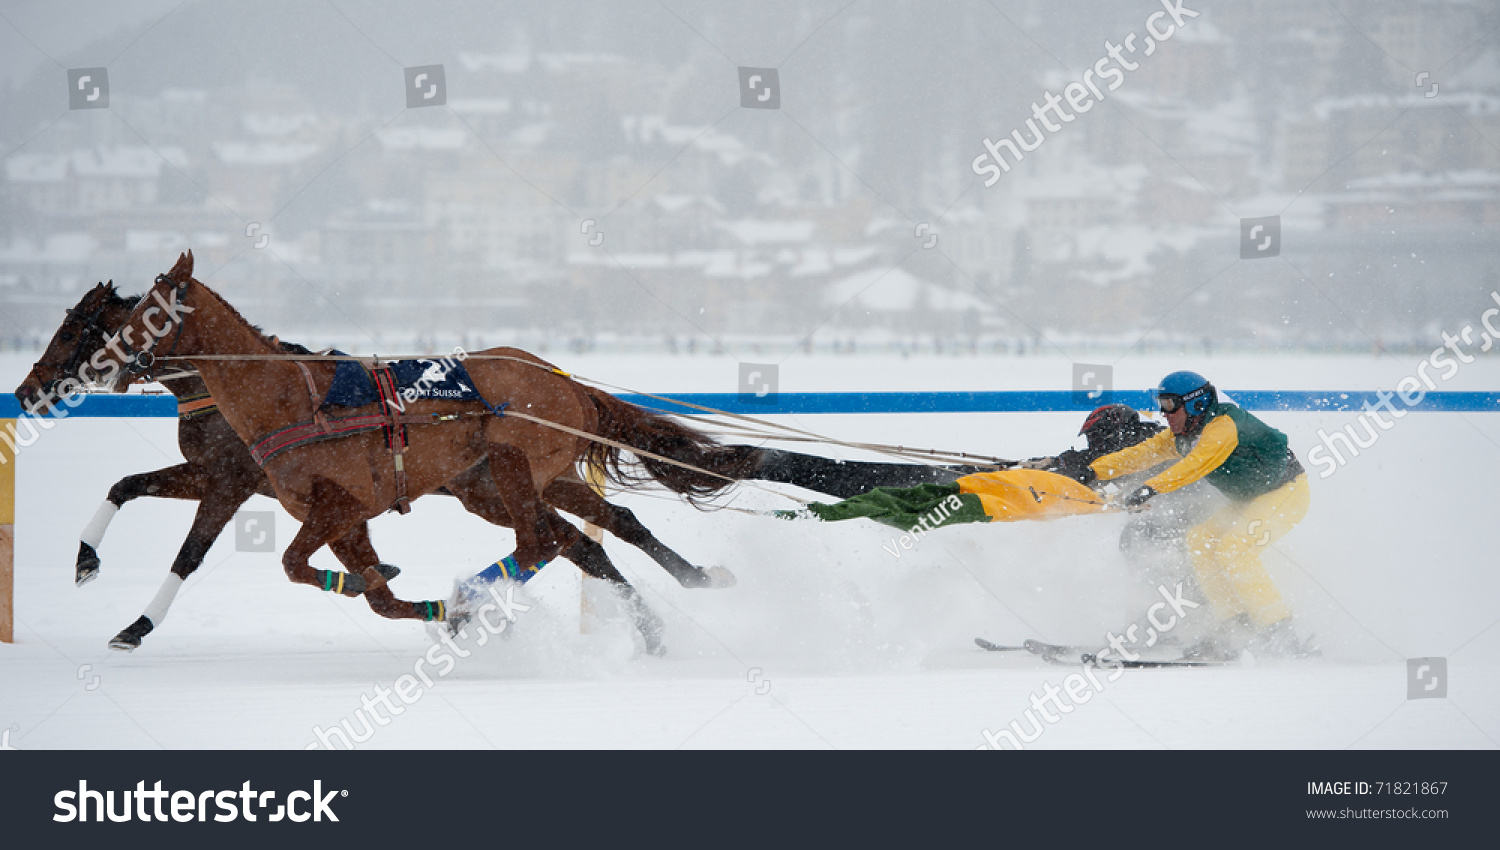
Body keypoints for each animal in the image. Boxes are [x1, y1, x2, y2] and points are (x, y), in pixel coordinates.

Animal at [11, 278, 738, 650]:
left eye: (78, 326)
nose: (25, 391)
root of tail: (564, 380)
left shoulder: (231, 481)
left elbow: (189, 555)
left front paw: (136, 625)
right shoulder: (250, 485)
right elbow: (124, 485)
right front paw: (87, 561)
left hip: (504, 480)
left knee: (563, 538)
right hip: (502, 485)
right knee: (591, 535)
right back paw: (667, 609)